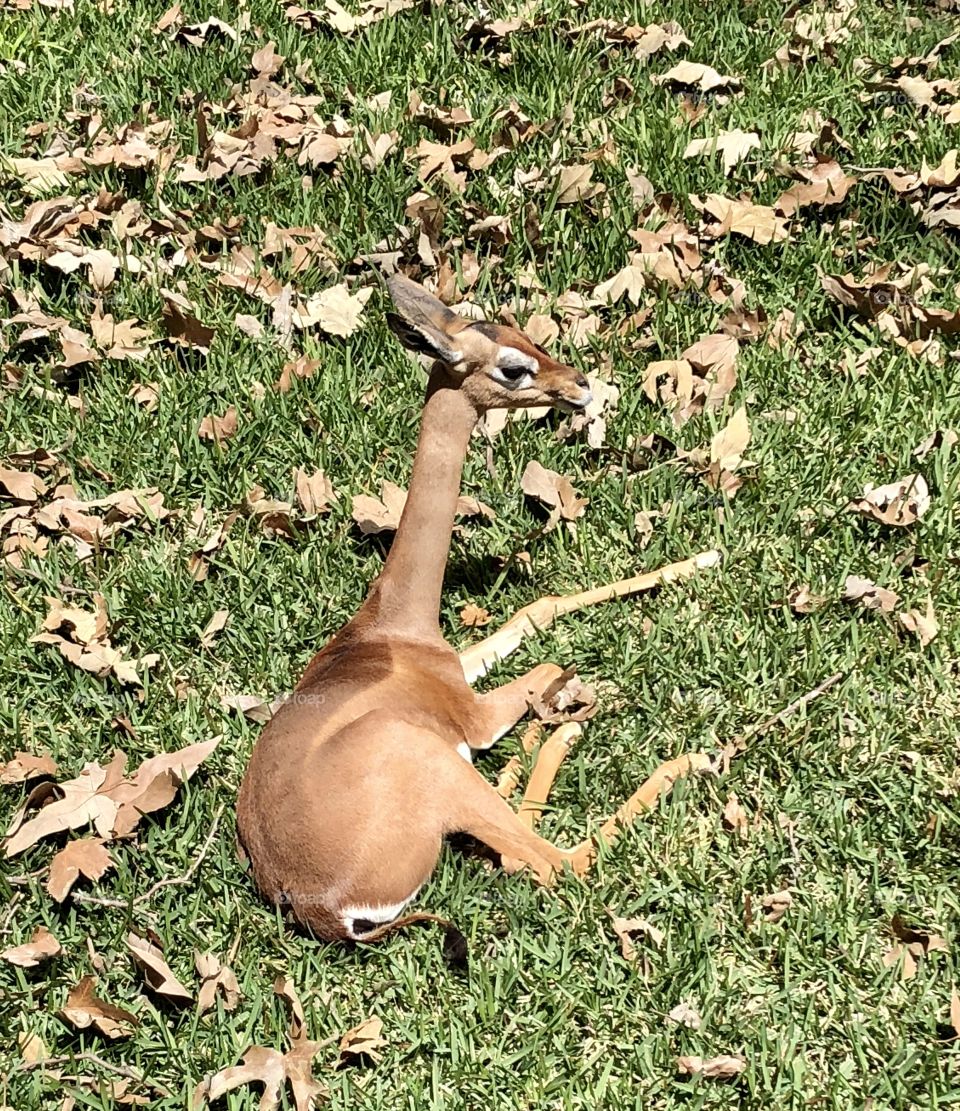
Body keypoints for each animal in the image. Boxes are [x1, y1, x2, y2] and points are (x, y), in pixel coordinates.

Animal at [236, 274, 715, 944]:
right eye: (512, 366)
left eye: (524, 332)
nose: (580, 386)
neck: (392, 625)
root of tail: (318, 904)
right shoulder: (475, 715)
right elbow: (545, 666)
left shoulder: (455, 663)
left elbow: (539, 605)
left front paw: (702, 558)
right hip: (439, 765)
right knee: (555, 861)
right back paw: (657, 750)